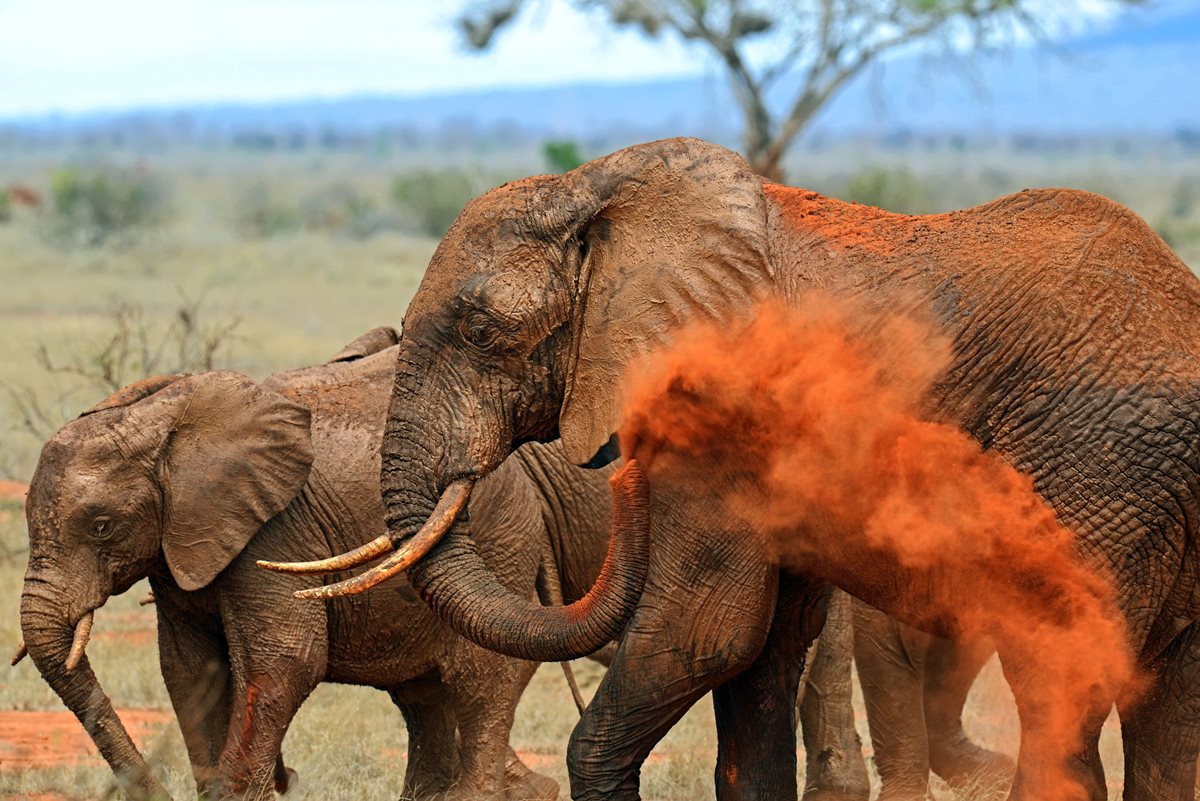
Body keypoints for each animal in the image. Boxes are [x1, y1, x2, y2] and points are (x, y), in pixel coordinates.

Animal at [14, 326, 652, 801]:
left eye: (100, 526)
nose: (290, 776)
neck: (165, 423)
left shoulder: (274, 531)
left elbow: (286, 659)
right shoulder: (179, 550)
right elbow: (190, 669)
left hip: (499, 536)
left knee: (478, 681)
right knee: (424, 697)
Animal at [274, 139, 1200, 801]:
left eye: (479, 332)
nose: (618, 467)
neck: (599, 193)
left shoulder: (715, 412)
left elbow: (706, 633)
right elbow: (758, 654)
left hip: (1098, 474)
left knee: (1060, 690)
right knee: (1167, 719)